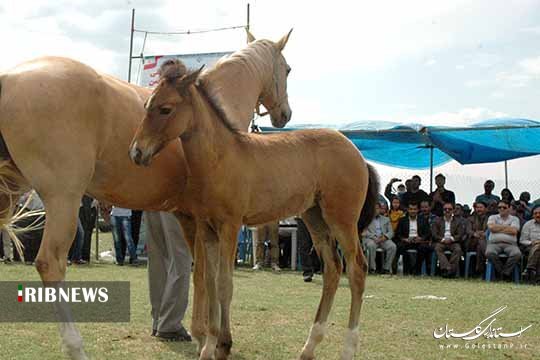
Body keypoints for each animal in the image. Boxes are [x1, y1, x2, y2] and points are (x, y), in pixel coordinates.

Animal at [0, 31, 292, 360]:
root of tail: (10, 77)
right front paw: (211, 340)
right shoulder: (205, 220)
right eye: (288, 69)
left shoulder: (185, 217)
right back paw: (76, 346)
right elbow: (207, 275)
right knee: (50, 263)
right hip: (63, 200)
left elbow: (199, 275)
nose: (285, 114)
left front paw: (199, 334)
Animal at [129, 53, 378, 360]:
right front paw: (208, 346)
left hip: (342, 219)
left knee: (357, 269)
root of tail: (356, 152)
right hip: (315, 217)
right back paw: (309, 346)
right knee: (332, 269)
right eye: (146, 106)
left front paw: (223, 344)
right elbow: (209, 282)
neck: (220, 158)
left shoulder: (230, 226)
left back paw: (348, 349)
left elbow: (224, 283)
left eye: (165, 109)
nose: (136, 152)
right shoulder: (206, 228)